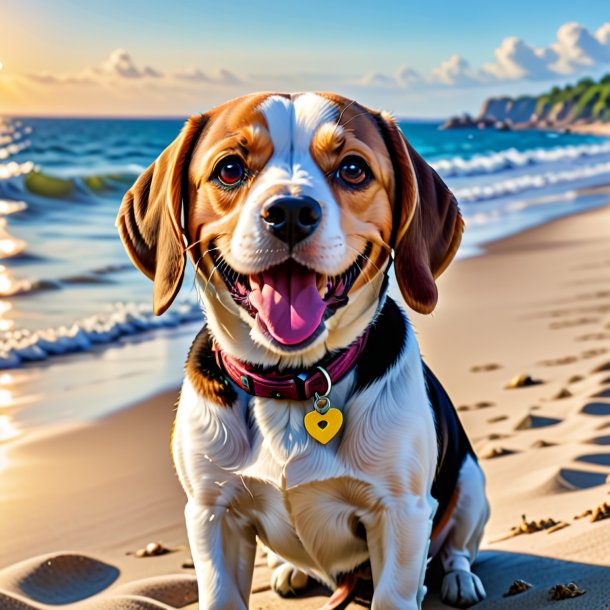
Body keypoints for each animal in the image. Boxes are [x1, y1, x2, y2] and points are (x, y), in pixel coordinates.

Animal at [116, 91, 486, 608]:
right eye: (230, 169)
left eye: (352, 169)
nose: (290, 212)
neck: (292, 383)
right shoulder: (211, 514)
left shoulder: (403, 512)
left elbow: (396, 592)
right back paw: (290, 570)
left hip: (471, 483)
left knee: (457, 548)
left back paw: (459, 579)